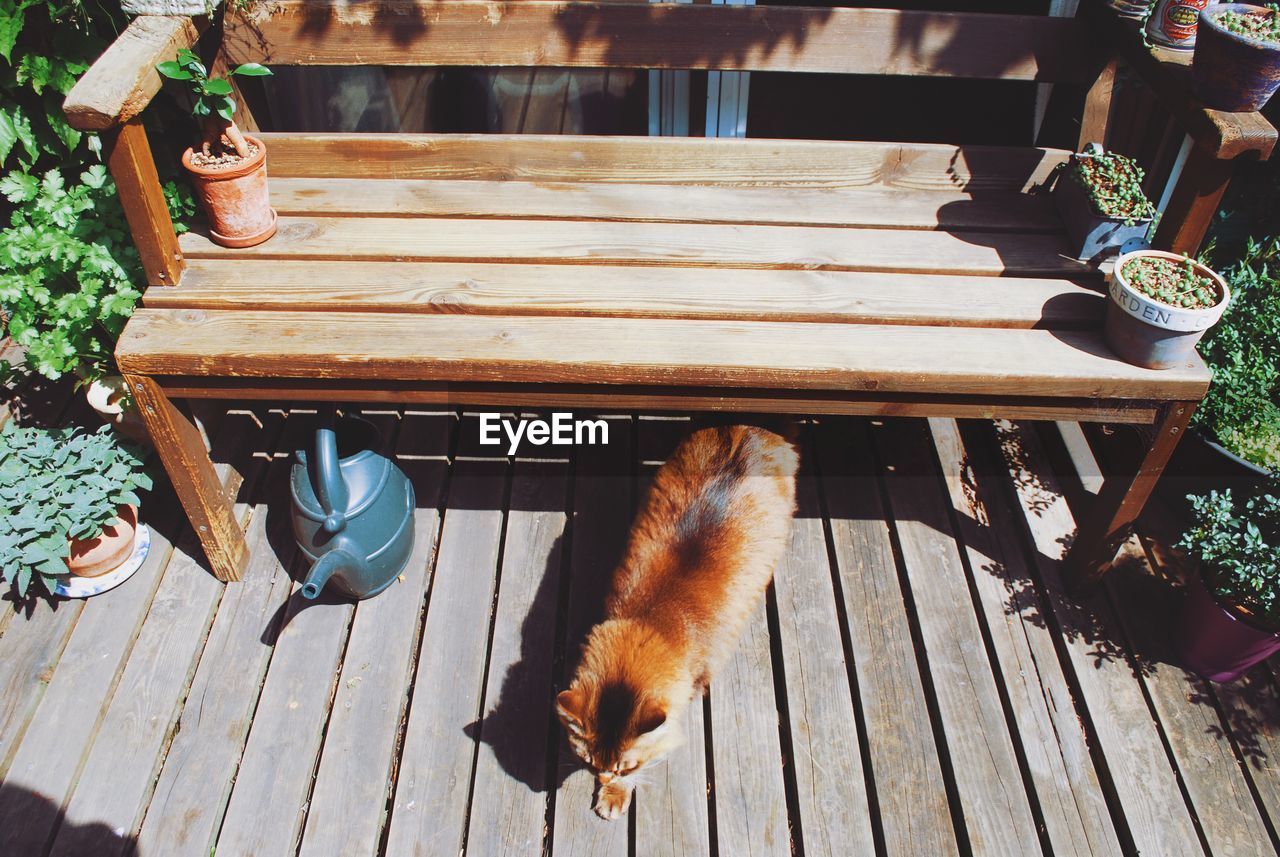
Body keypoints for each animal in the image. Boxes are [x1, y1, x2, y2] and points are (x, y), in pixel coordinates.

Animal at [555, 427, 793, 823]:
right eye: (588, 761)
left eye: (626, 766)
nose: (602, 777)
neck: (655, 621)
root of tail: (750, 428)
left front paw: (615, 793)